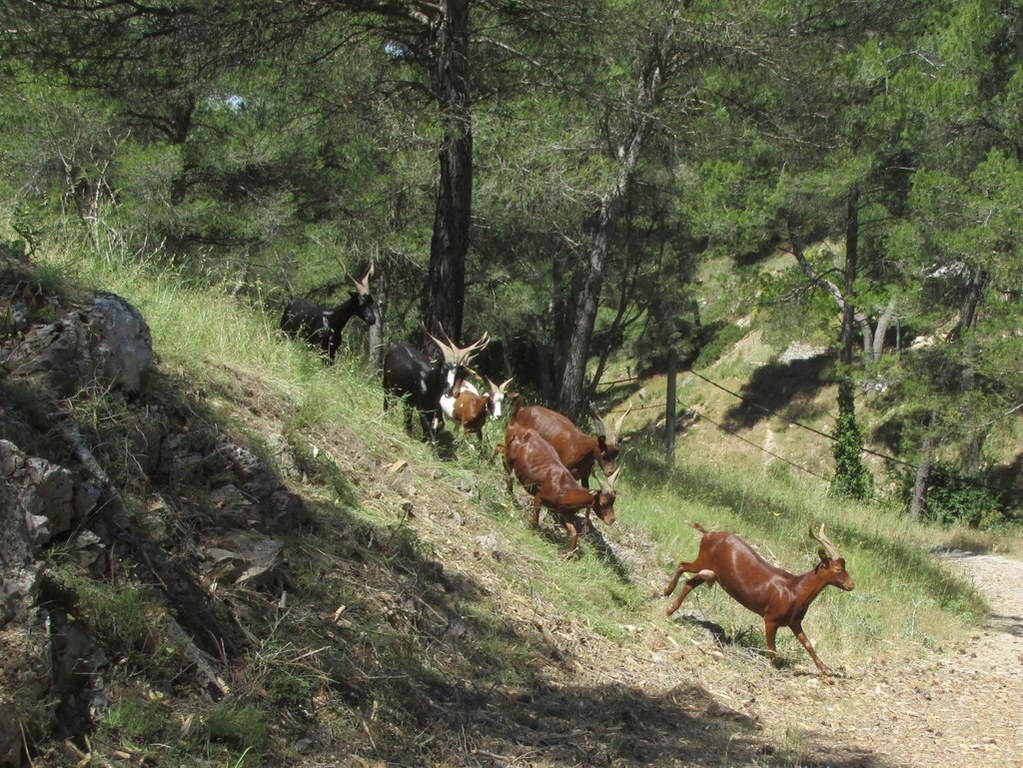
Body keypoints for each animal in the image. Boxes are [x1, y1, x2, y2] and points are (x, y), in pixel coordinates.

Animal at [503, 423, 621, 556]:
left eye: (613, 502)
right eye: (602, 503)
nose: (611, 520)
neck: (564, 490)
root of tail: (514, 427)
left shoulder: (566, 513)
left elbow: (574, 533)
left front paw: (567, 554)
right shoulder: (539, 497)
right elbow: (536, 518)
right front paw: (532, 534)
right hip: (509, 456)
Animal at [662, 523, 855, 670]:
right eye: (837, 569)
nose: (851, 584)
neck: (795, 591)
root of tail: (708, 533)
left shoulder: (794, 622)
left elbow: (808, 644)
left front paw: (825, 669)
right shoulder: (771, 619)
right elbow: (772, 649)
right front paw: (774, 668)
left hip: (711, 572)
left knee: (689, 583)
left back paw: (670, 610)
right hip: (703, 560)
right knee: (682, 565)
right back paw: (666, 591)